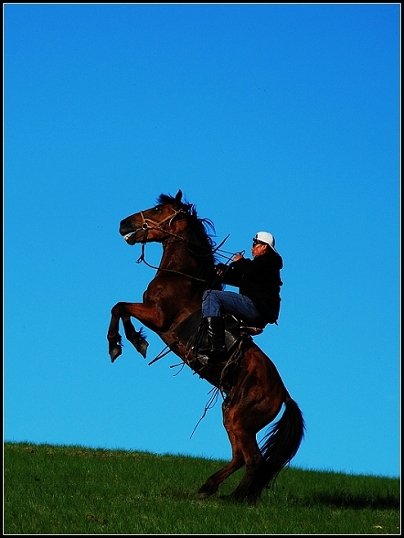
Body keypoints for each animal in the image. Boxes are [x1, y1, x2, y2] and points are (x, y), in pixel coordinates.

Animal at [105, 188, 304, 502]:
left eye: (158, 210)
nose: (124, 224)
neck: (181, 277)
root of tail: (283, 394)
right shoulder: (150, 314)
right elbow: (122, 310)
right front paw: (135, 340)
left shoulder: (157, 316)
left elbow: (119, 307)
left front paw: (120, 344)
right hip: (232, 416)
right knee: (240, 457)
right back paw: (209, 488)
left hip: (240, 420)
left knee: (254, 460)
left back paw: (236, 498)